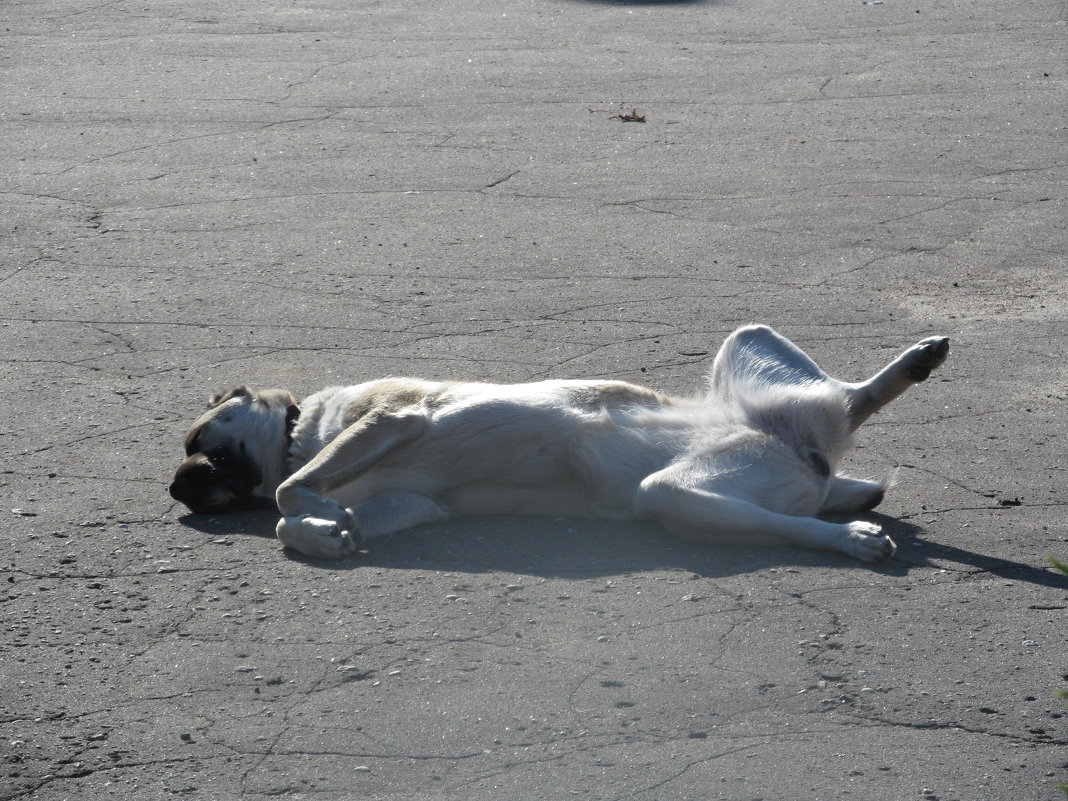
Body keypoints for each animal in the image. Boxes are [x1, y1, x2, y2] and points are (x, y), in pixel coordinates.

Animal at [168, 322, 952, 559]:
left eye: (197, 439)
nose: (174, 485)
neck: (303, 431)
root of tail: (807, 456)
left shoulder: (394, 418)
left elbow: (286, 491)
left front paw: (307, 510)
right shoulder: (412, 503)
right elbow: (315, 514)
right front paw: (325, 532)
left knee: (846, 413)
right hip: (687, 485)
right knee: (837, 435)